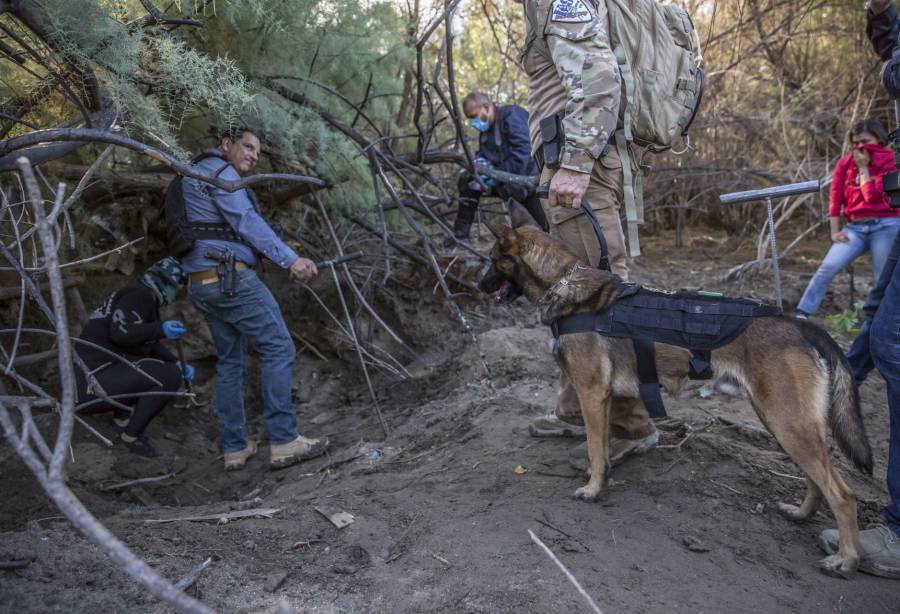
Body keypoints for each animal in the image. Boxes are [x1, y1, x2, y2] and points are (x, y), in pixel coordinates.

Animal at [482, 206, 876, 576]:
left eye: (491, 259)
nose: (478, 285)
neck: (564, 284)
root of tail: (798, 326)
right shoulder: (605, 396)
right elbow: (605, 443)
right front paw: (605, 473)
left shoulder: (591, 393)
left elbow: (595, 446)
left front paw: (593, 489)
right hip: (782, 421)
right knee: (818, 478)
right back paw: (801, 513)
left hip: (787, 423)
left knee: (844, 494)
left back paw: (846, 558)